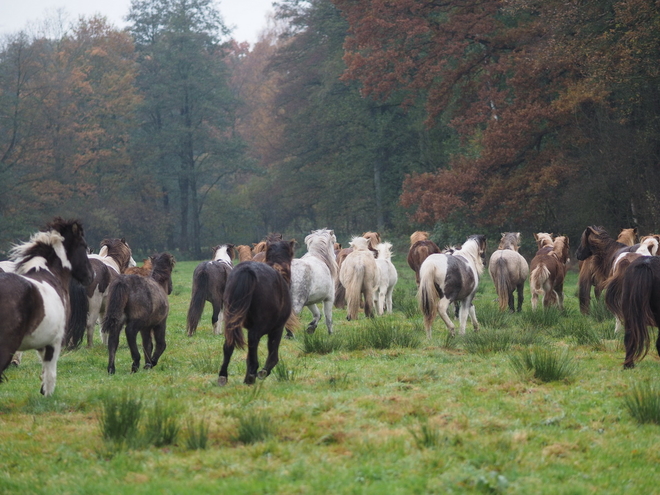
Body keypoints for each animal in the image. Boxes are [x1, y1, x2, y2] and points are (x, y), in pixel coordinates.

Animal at [218, 240, 296, 388]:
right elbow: (273, 355)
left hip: (231, 322)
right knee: (253, 340)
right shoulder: (277, 329)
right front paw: (261, 372)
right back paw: (253, 373)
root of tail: (247, 271)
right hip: (261, 326)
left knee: (229, 345)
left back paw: (223, 375)